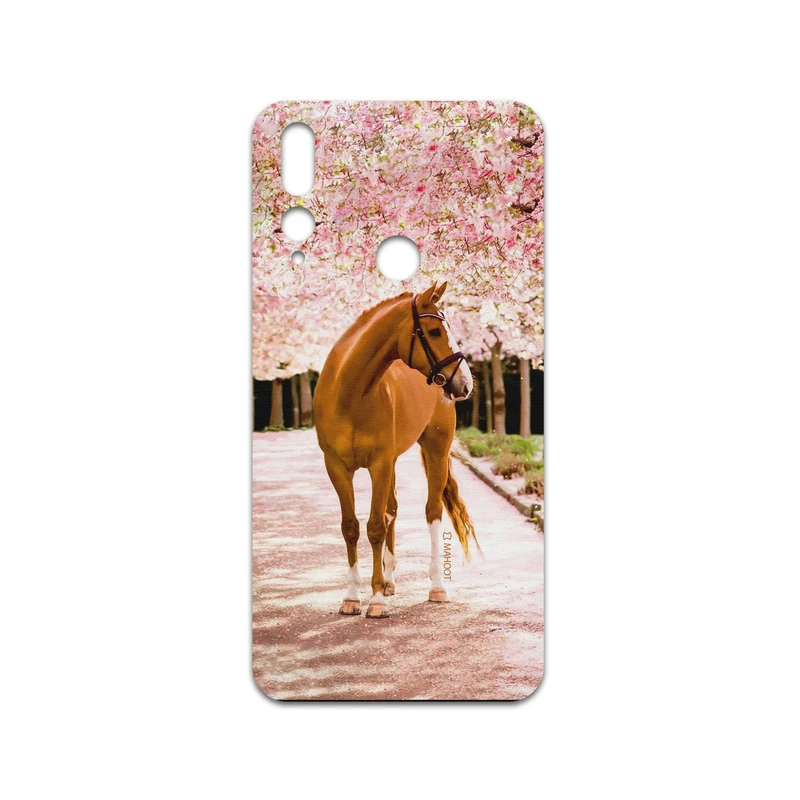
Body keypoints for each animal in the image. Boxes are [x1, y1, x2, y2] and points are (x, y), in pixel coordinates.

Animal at [314, 282, 478, 618]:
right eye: (434, 331)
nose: (466, 383)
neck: (350, 393)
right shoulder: (337, 467)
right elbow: (351, 527)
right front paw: (352, 597)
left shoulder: (379, 464)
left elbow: (375, 527)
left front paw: (375, 601)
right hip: (391, 463)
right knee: (392, 510)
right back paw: (389, 581)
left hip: (435, 451)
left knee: (431, 512)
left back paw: (436, 587)